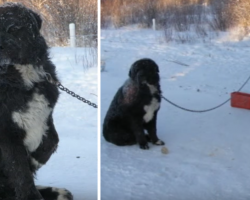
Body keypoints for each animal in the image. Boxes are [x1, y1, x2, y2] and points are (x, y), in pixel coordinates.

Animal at [0, 2, 72, 200]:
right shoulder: (6, 134)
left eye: (13, 28)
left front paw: (34, 160)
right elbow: (19, 171)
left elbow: (52, 140)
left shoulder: (46, 114)